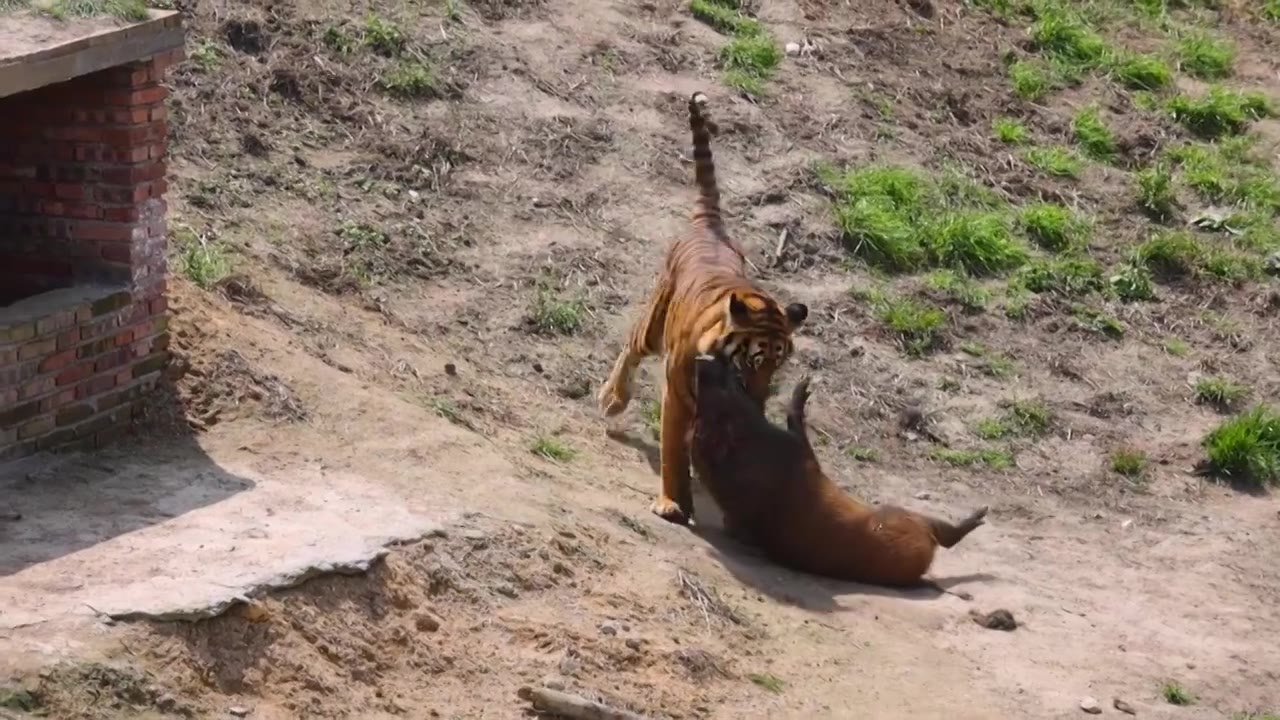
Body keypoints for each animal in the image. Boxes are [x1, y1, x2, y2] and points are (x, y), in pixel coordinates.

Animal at [601, 92, 808, 525]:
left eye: (777, 367)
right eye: (752, 362)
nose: (756, 402)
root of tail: (711, 226)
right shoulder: (679, 395)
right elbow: (672, 453)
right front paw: (672, 502)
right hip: (654, 325)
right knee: (631, 347)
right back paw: (612, 399)